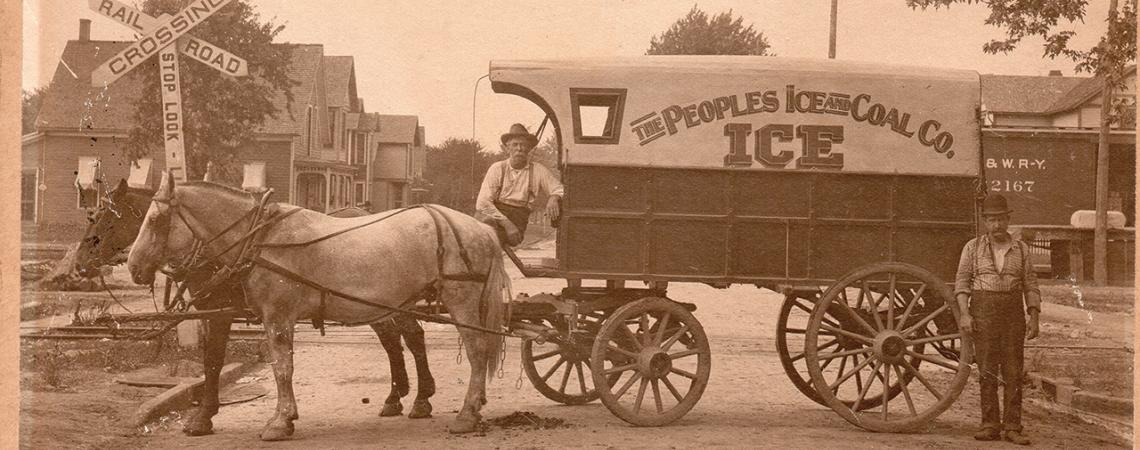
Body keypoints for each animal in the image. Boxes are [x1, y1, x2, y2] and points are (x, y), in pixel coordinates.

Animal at [72, 178, 435, 437]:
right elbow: (214, 359)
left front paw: (207, 416)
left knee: (410, 338)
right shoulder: (215, 311)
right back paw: (398, 397)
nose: (79, 264)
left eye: (106, 219)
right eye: (91, 216)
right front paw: (207, 415)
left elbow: (220, 360)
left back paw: (418, 399)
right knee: (397, 339)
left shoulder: (229, 311)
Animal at [123, 174, 508, 442]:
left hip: (461, 302)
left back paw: (466, 414)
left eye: (154, 219)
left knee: (476, 352)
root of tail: (481, 229)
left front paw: (280, 422)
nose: (133, 266)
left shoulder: (278, 317)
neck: (261, 239)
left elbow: (282, 368)